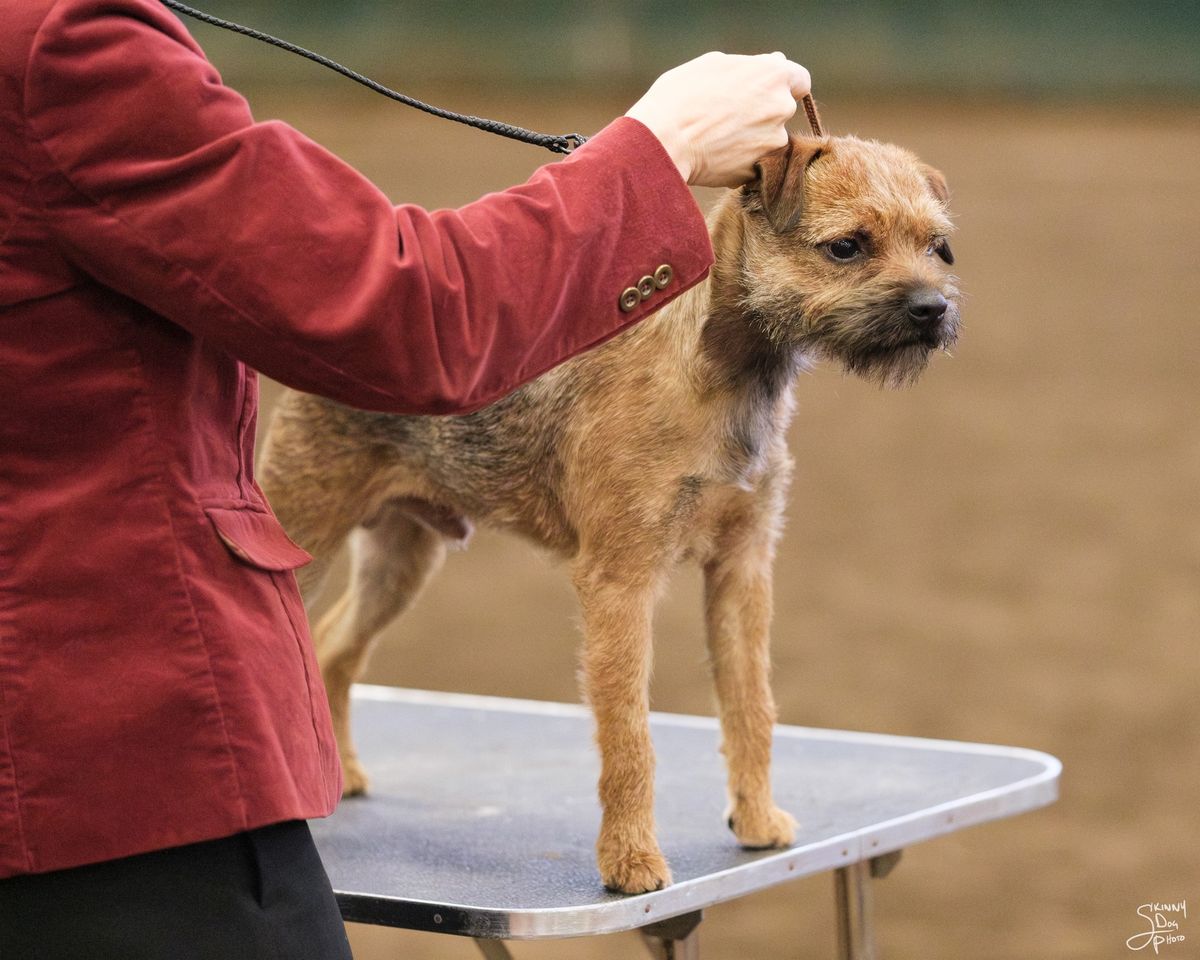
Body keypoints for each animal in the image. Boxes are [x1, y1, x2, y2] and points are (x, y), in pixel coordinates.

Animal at [258, 133, 960, 892]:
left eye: (935, 247)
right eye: (847, 246)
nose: (932, 308)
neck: (723, 372)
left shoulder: (741, 569)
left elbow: (750, 704)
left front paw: (756, 820)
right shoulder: (620, 584)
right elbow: (629, 736)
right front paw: (632, 861)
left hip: (400, 561)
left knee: (335, 646)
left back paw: (346, 775)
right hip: (303, 531)